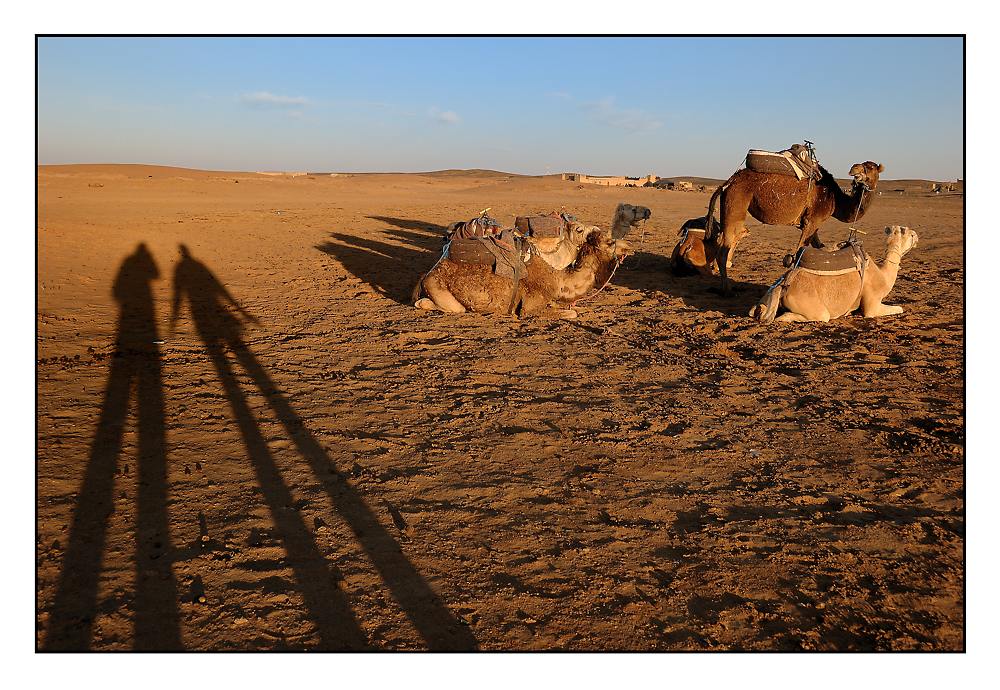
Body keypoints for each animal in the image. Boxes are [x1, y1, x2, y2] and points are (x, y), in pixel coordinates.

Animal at [414, 231, 632, 318]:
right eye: (610, 242)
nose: (629, 245)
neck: (559, 280)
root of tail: (426, 275)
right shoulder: (530, 307)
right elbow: (572, 313)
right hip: (438, 289)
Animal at [704, 160, 884, 292]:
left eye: (870, 167)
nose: (854, 169)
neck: (835, 199)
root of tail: (727, 183)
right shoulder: (812, 221)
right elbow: (800, 251)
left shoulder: (813, 224)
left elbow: (819, 248)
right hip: (736, 203)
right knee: (725, 246)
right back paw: (727, 289)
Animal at [752, 224, 916, 324]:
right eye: (909, 234)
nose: (916, 235)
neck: (882, 275)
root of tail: (786, 284)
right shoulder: (872, 303)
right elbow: (898, 308)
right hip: (816, 309)